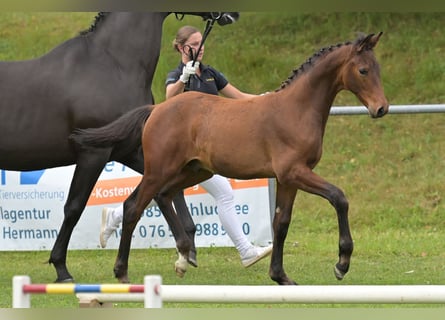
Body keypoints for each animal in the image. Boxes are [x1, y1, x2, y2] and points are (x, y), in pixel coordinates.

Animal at [0, 11, 239, 282]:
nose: (234, 14)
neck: (113, 64)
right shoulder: (94, 153)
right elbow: (73, 208)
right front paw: (61, 268)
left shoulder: (127, 149)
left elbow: (165, 191)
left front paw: (186, 251)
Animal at [71, 31, 386, 282]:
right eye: (362, 70)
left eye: (378, 68)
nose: (381, 108)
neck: (296, 110)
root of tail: (157, 109)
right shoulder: (295, 172)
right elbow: (339, 197)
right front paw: (341, 264)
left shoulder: (288, 179)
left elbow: (281, 224)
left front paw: (280, 276)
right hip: (160, 169)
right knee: (134, 206)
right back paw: (122, 271)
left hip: (194, 171)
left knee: (163, 195)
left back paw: (182, 258)